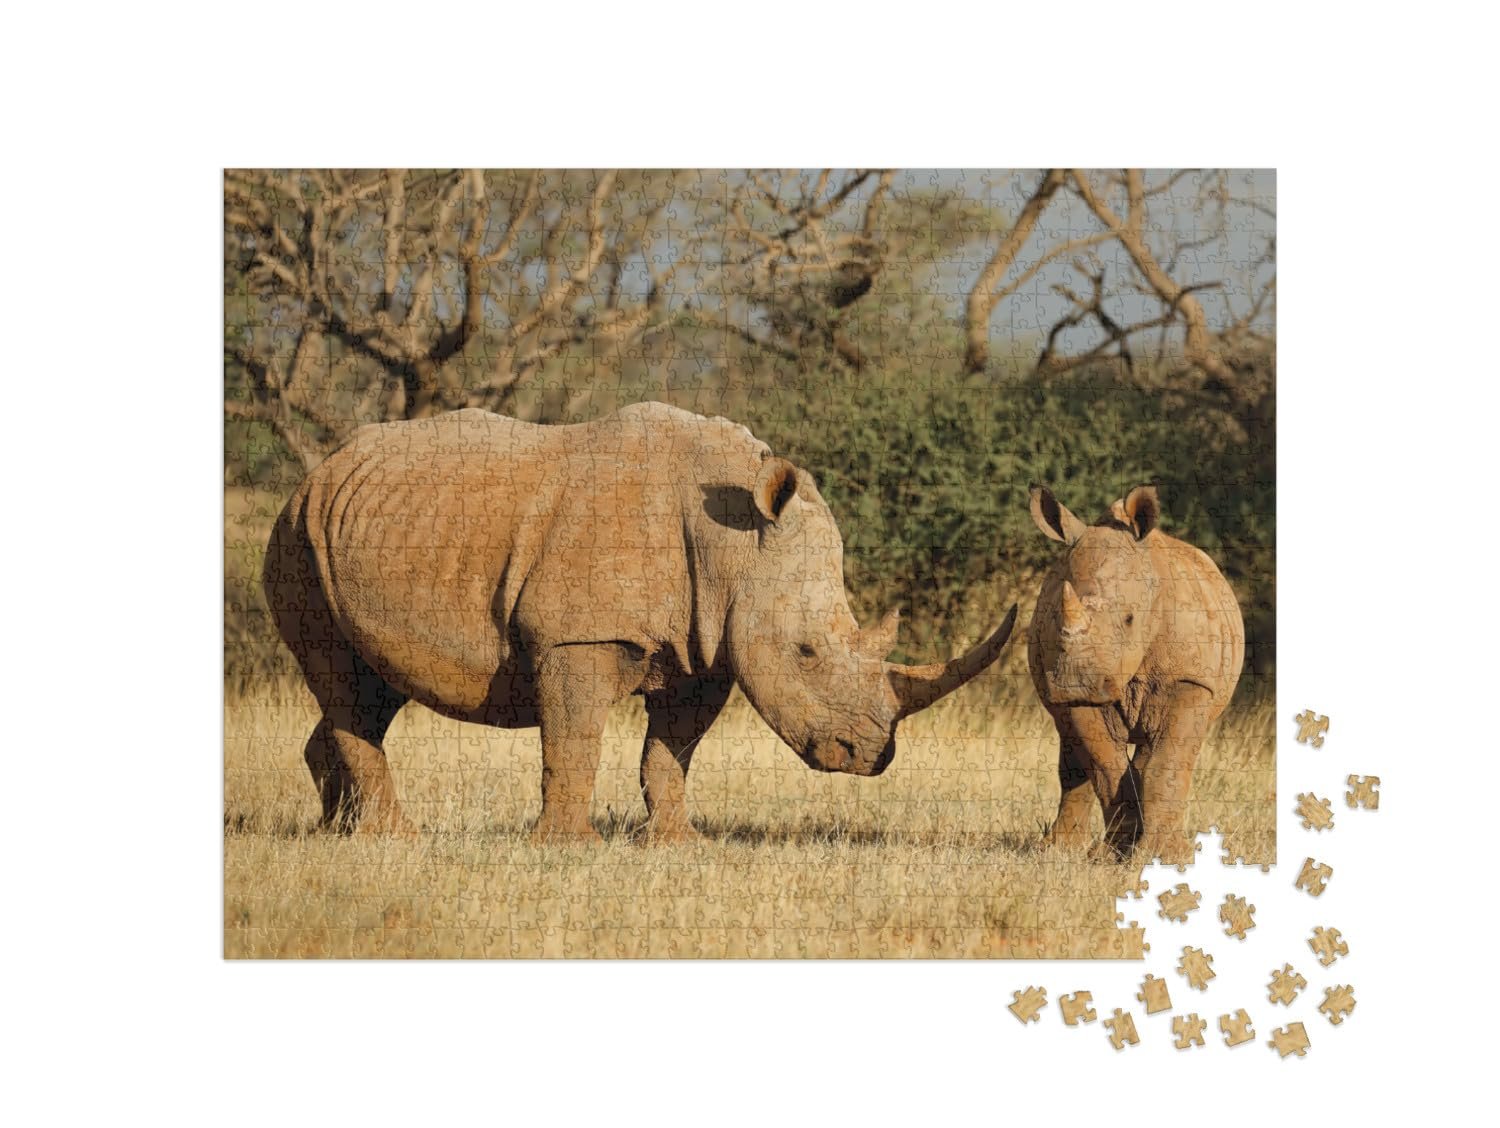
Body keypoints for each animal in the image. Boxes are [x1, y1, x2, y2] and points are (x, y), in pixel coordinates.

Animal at [263, 402, 1017, 841]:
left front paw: (678, 844)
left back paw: (338, 833)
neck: (736, 544)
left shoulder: (707, 645)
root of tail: (320, 468)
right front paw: (567, 847)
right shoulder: (577, 634)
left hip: (364, 526)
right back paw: (395, 837)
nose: (868, 757)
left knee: (371, 689)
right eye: (805, 652)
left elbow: (671, 752)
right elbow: (574, 743)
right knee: (346, 687)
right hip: (297, 536)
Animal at [1026, 484, 1244, 863]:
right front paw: (1113, 855)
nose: (1075, 683)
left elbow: (1167, 764)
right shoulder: (1088, 689)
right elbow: (1106, 765)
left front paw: (1167, 857)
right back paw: (1057, 851)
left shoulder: (1191, 680)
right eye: (1054, 618)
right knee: (1073, 752)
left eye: (1129, 619)